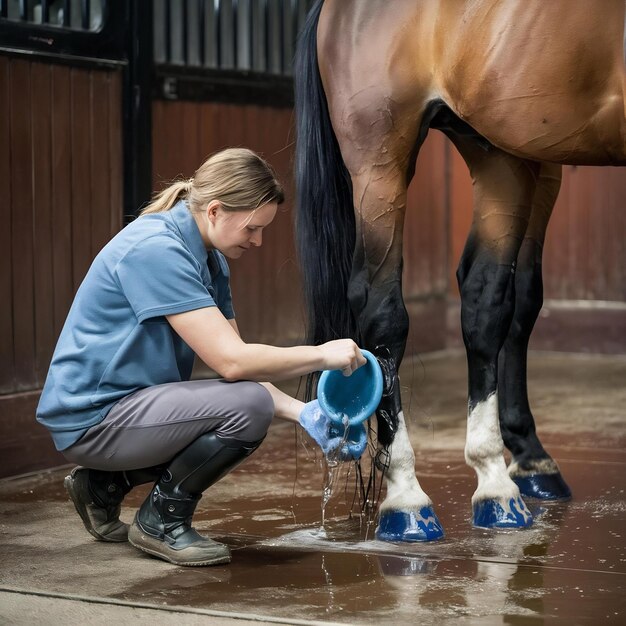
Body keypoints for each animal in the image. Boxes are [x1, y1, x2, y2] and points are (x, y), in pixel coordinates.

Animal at [294, 0, 624, 540]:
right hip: (380, 162)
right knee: (383, 313)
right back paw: (407, 499)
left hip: (502, 153)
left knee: (489, 298)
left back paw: (499, 485)